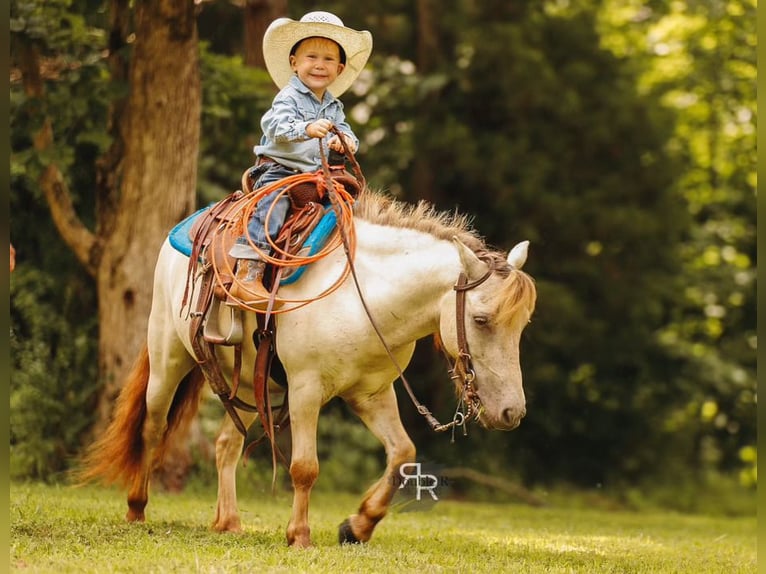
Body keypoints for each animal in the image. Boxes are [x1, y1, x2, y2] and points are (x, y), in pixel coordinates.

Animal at [79, 189, 537, 548]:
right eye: (481, 320)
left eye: (521, 325)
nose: (512, 412)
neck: (362, 295)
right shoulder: (305, 389)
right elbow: (305, 467)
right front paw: (299, 534)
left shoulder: (371, 394)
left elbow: (402, 455)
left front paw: (358, 526)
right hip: (168, 358)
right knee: (152, 427)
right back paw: (137, 509)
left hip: (254, 389)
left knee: (226, 444)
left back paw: (228, 522)